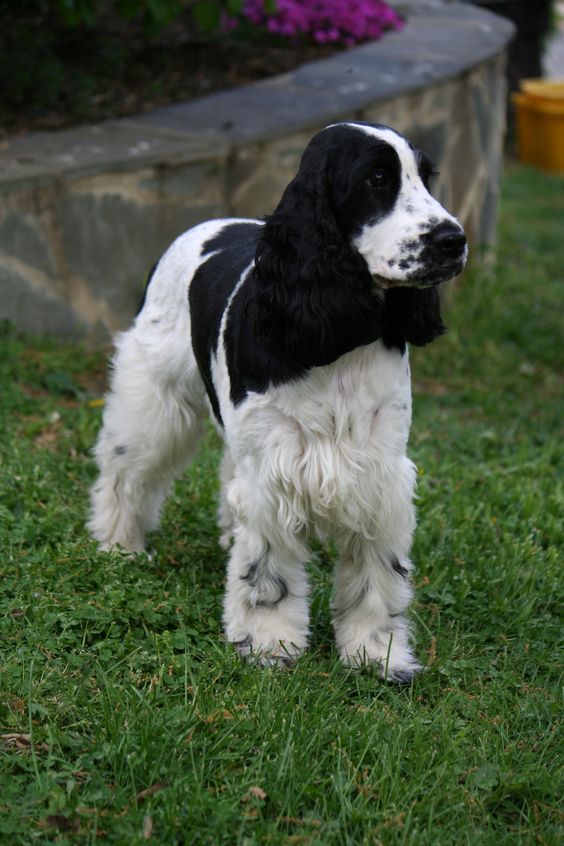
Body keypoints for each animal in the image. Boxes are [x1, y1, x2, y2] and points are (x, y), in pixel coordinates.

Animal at [88, 124, 468, 684]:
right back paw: (118, 545)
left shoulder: (378, 477)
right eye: (377, 179)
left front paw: (377, 654)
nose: (453, 240)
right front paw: (269, 645)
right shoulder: (273, 479)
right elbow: (267, 574)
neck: (335, 340)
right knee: (125, 473)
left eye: (426, 175)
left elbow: (377, 577)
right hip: (153, 400)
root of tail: (211, 224)